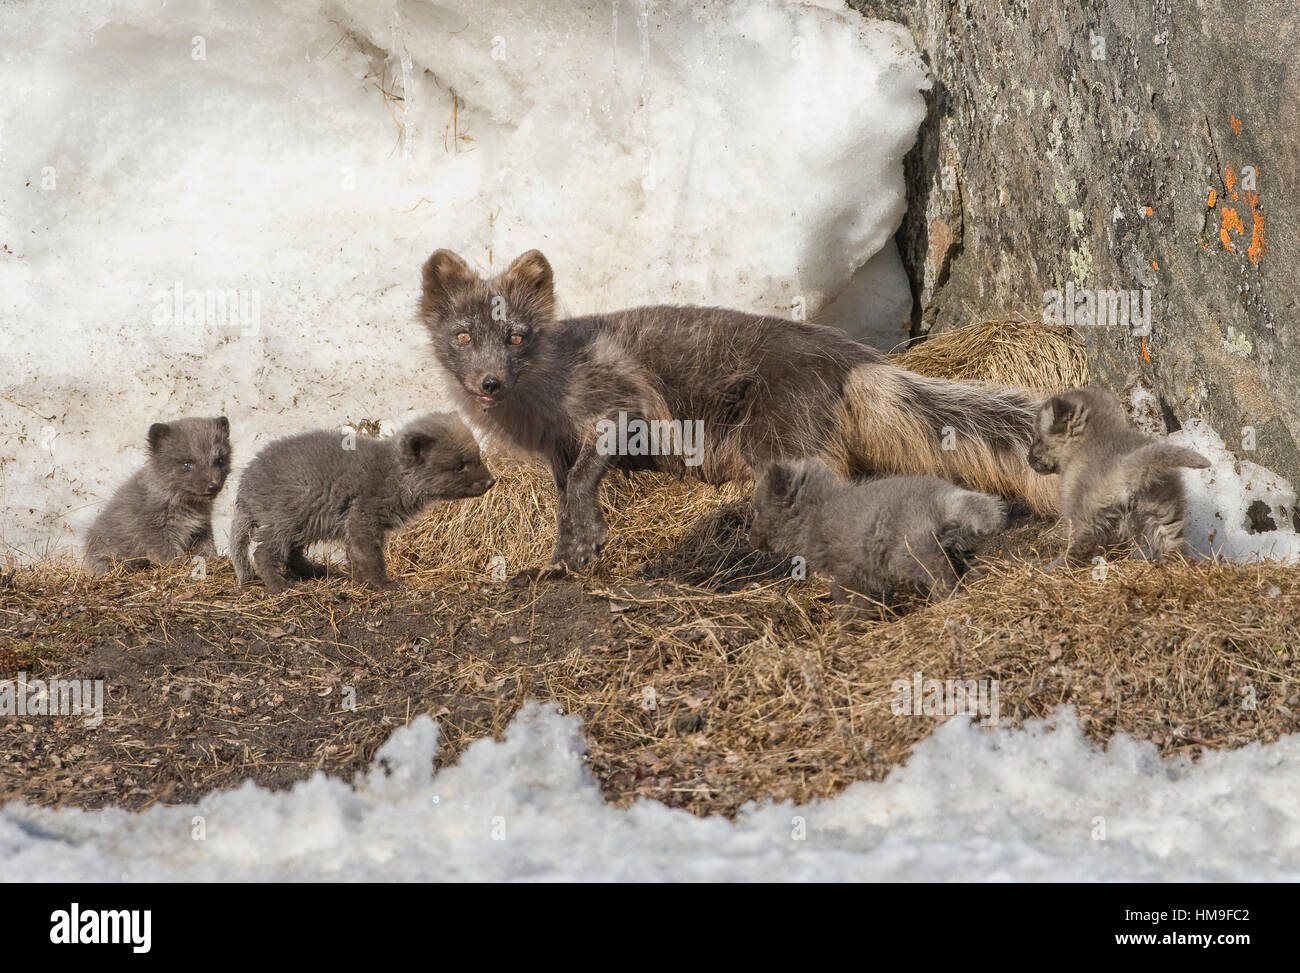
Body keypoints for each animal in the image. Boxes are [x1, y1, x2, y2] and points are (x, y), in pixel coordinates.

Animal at [421, 252, 1050, 585]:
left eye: (516, 336)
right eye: (463, 335)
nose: (489, 383)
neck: (541, 406)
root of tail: (851, 358)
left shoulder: (621, 405)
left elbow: (584, 479)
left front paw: (590, 542)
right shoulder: (556, 452)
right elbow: (560, 504)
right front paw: (558, 563)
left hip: (780, 442)